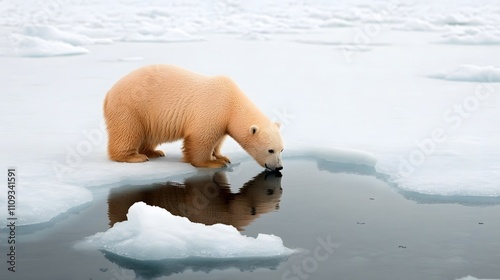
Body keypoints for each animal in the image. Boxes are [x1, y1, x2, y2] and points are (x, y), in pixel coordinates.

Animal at [103, 65, 284, 171]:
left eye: (281, 150)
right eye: (270, 150)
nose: (279, 167)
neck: (231, 102)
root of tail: (108, 93)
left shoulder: (223, 119)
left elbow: (218, 139)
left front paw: (222, 156)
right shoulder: (212, 108)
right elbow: (201, 139)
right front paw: (213, 162)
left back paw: (155, 152)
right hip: (131, 107)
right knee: (127, 131)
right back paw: (134, 156)